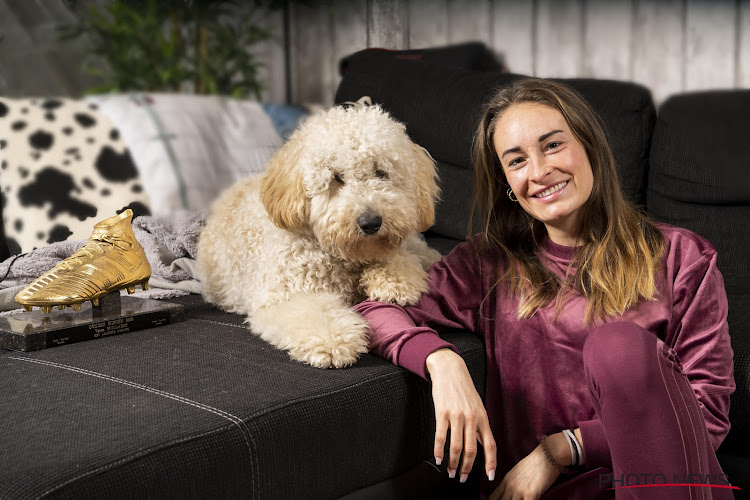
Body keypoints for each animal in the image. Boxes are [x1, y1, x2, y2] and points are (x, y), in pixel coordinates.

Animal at [197, 100, 444, 368]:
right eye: (336, 177)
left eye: (381, 172)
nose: (370, 223)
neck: (342, 257)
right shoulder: (284, 295)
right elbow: (315, 312)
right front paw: (334, 339)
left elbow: (399, 256)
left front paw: (396, 281)